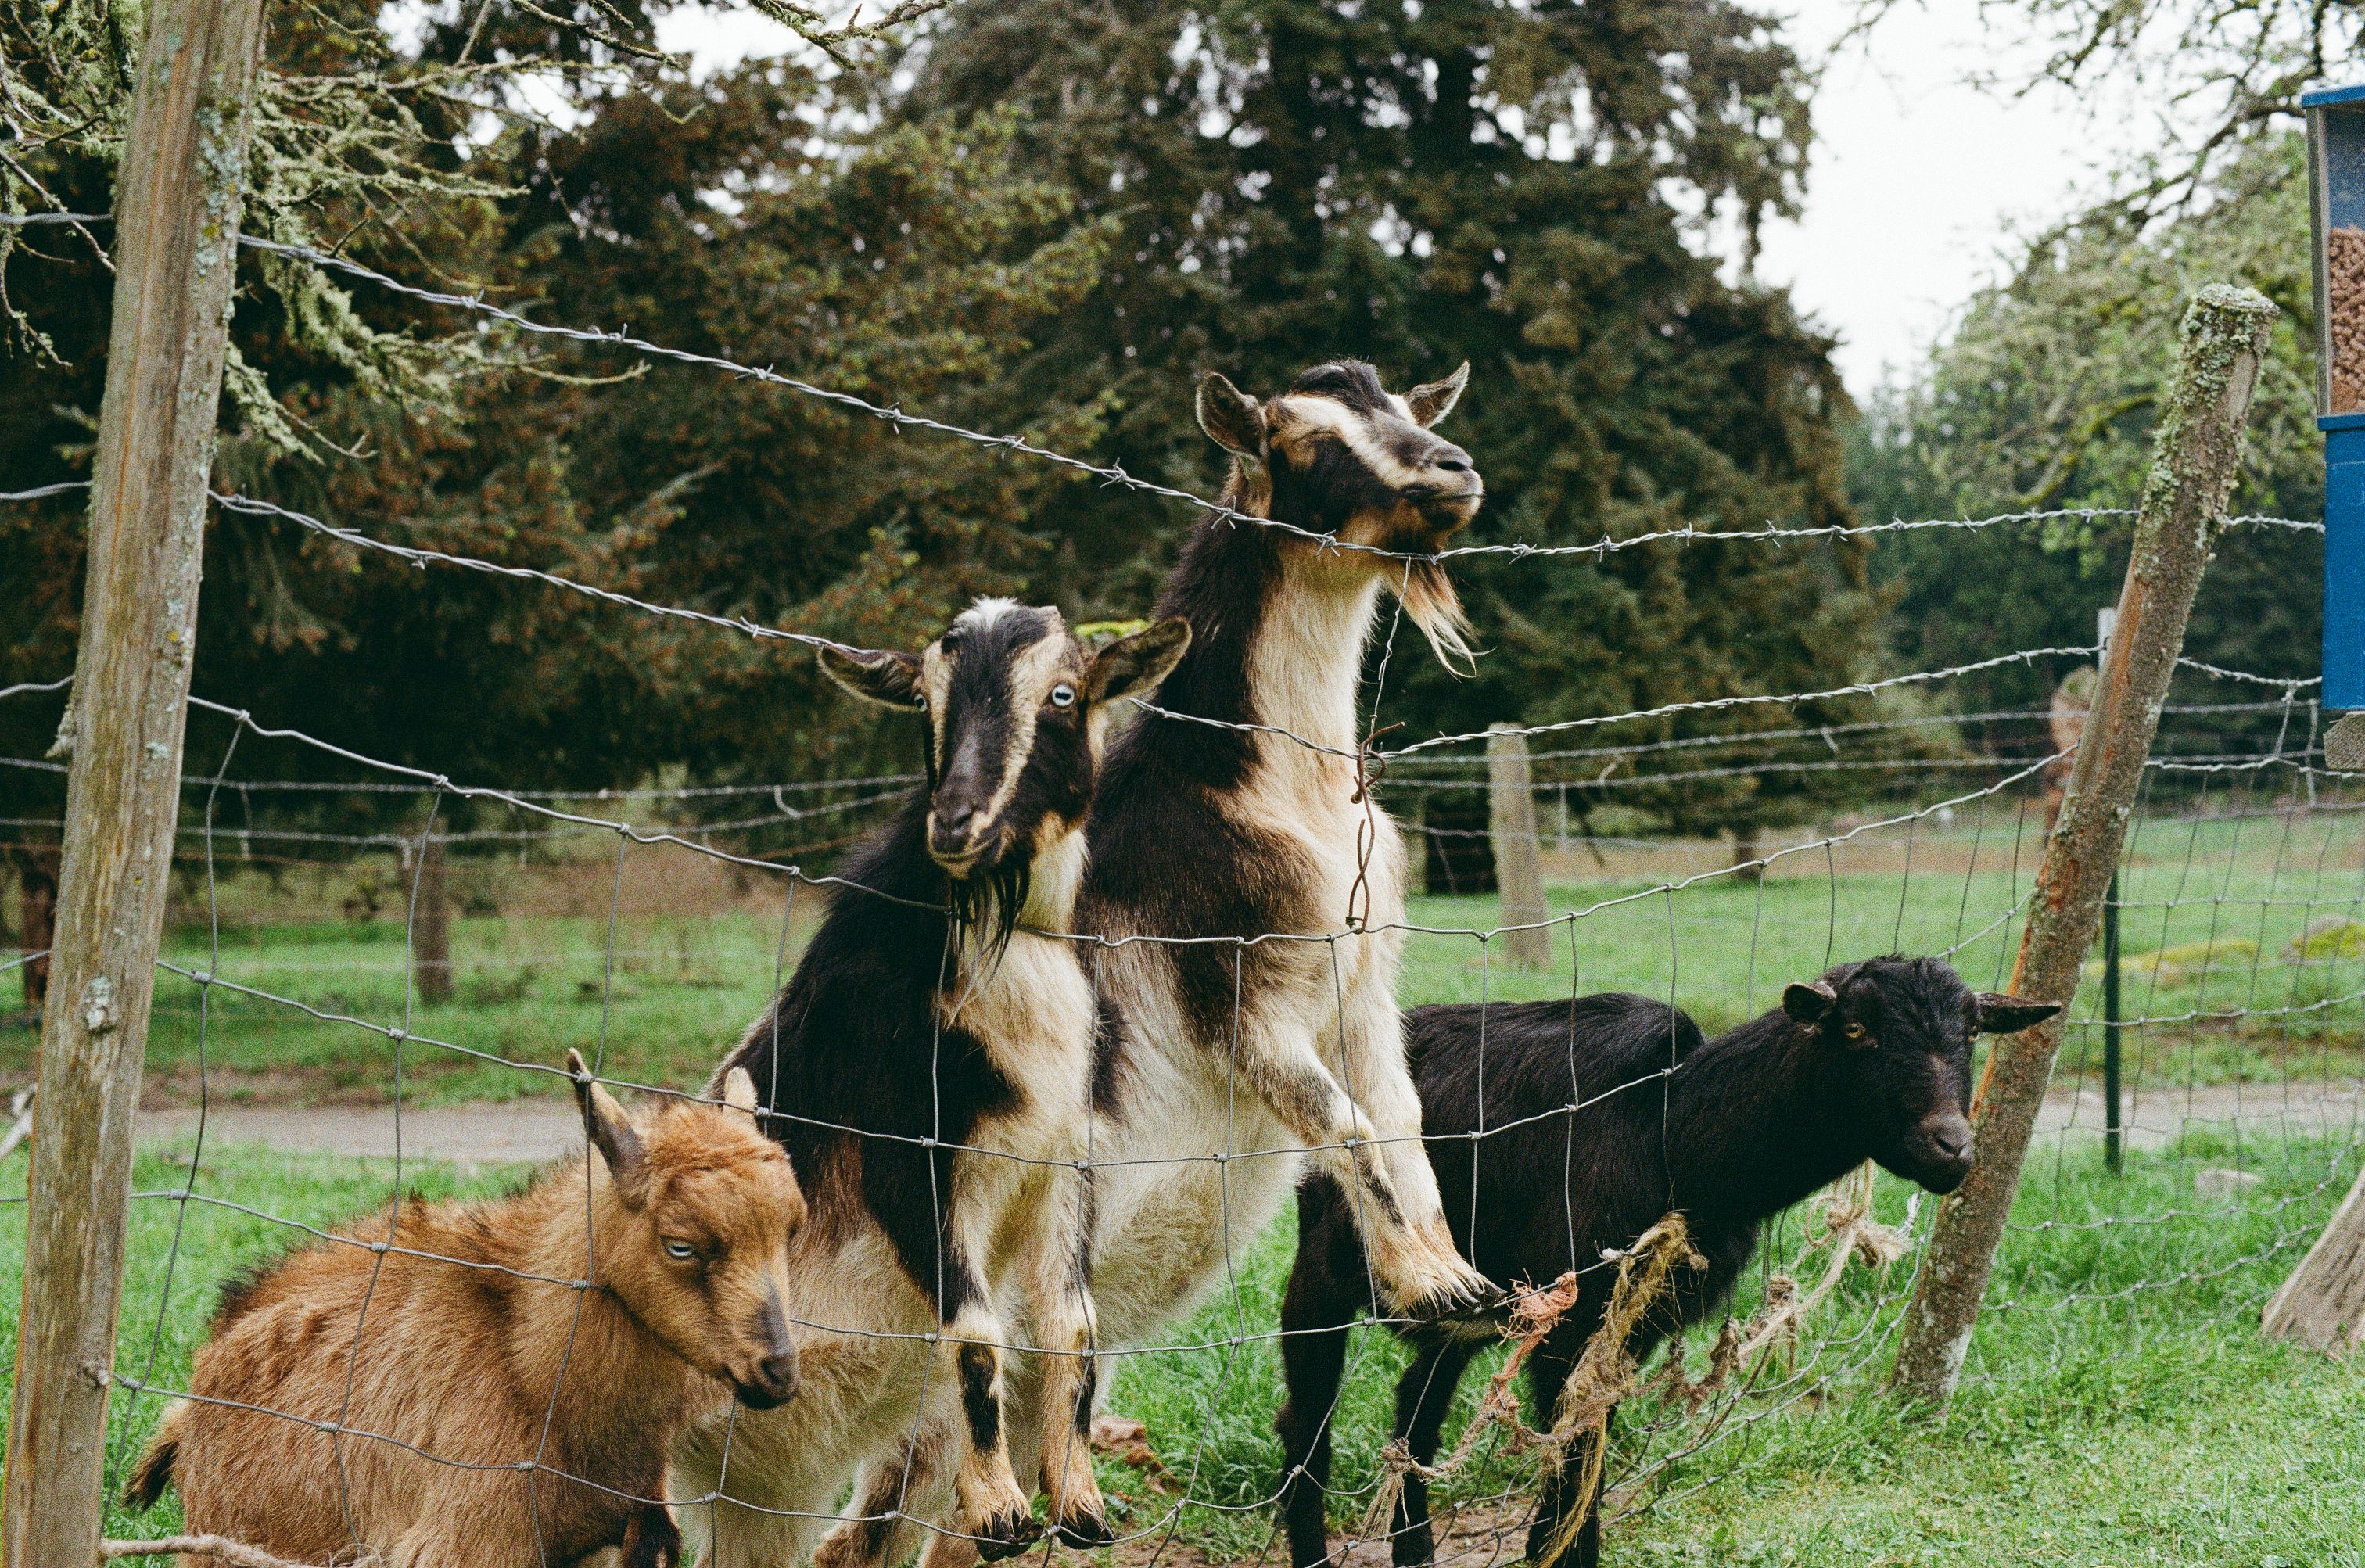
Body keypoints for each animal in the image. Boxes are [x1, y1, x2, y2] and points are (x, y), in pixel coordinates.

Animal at [675, 603, 1192, 1568]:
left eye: (1064, 694)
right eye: (924, 701)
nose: (953, 824)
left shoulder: (1064, 1164)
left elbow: (1073, 1325)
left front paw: (1080, 1503)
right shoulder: (911, 1161)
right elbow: (978, 1332)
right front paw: (998, 1511)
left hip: (757, 1502)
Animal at [811, 359, 1500, 1568]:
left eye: (1409, 409)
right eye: (1300, 441)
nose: (1454, 472)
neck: (1263, 784)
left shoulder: (1364, 987)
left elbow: (1402, 1122)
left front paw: (1455, 1280)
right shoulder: (1241, 997)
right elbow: (1348, 1127)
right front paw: (1422, 1283)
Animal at [1275, 956, 2061, 1568]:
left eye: (1971, 1032)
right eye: (1855, 1030)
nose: (1951, 1147)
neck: (1673, 1126)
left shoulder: (1628, 1328)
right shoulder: (1572, 1328)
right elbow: (1570, 1489)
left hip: (1462, 1301)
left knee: (1416, 1410)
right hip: (1321, 1271)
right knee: (1308, 1422)